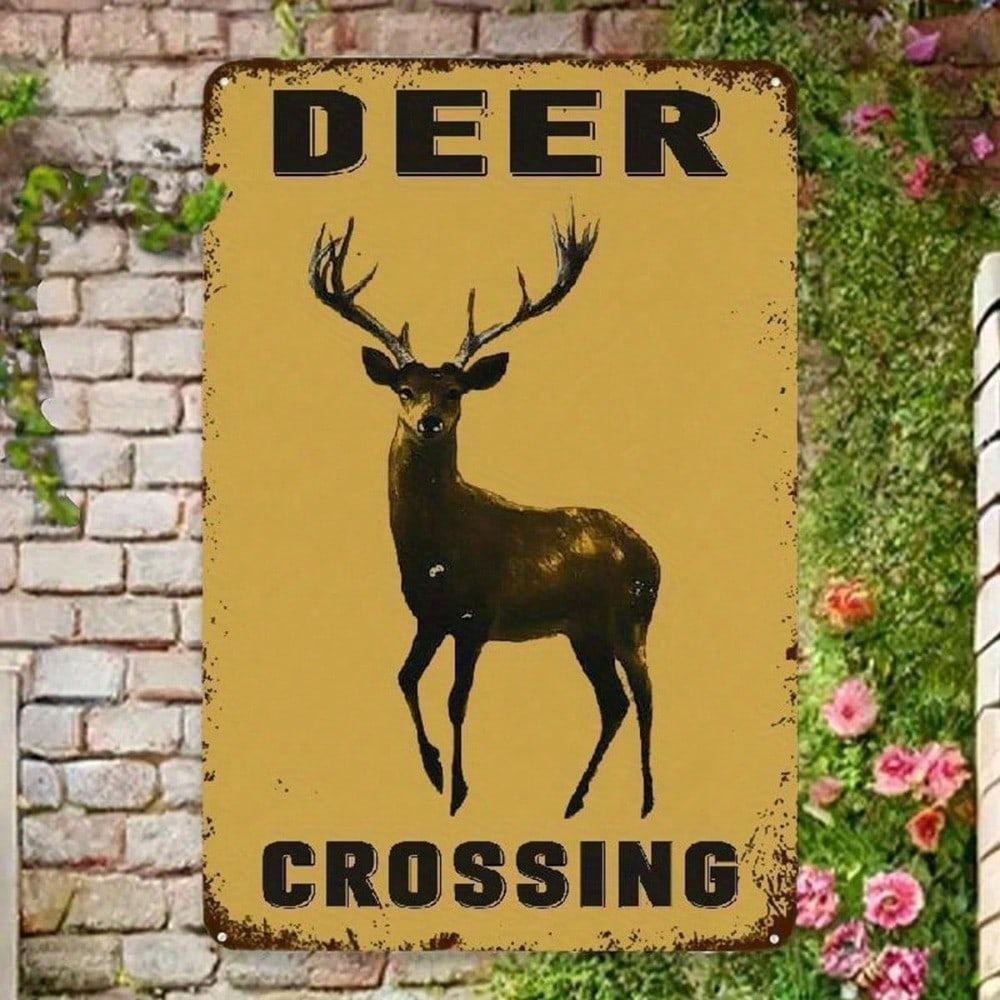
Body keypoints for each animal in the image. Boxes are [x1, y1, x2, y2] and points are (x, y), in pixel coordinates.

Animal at [308, 209, 661, 819]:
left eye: (455, 391)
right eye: (404, 388)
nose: (428, 421)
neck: (437, 548)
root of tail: (653, 555)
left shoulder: (476, 616)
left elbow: (456, 700)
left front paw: (457, 793)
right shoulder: (430, 617)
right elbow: (404, 677)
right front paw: (433, 772)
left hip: (630, 615)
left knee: (644, 695)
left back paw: (643, 802)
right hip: (583, 629)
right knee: (612, 701)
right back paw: (575, 799)